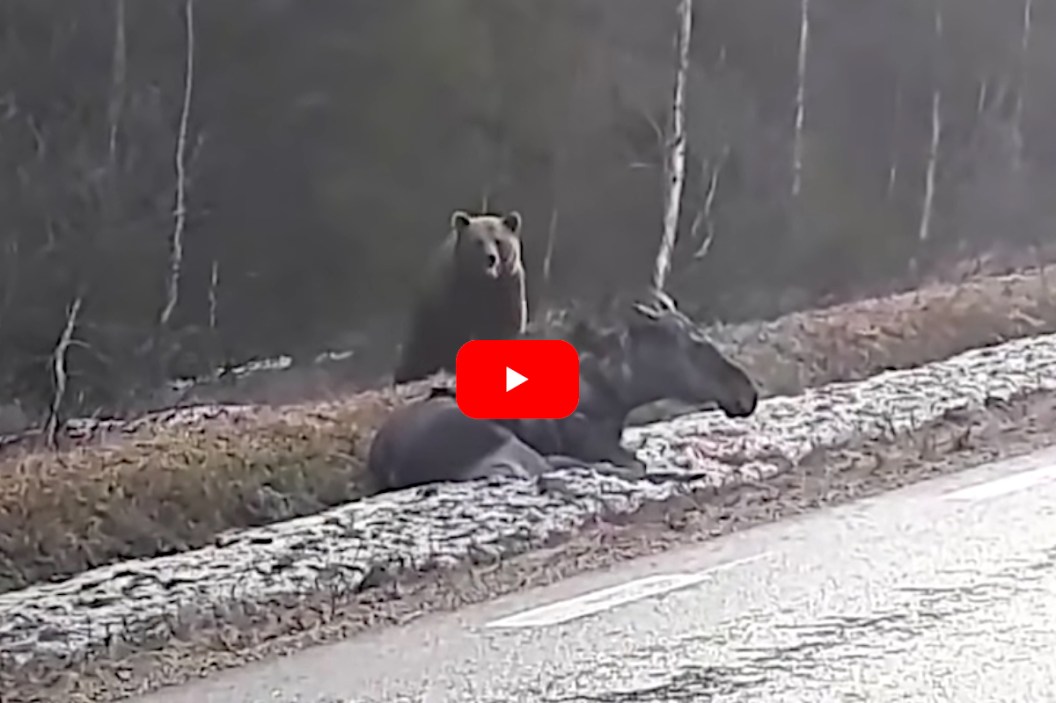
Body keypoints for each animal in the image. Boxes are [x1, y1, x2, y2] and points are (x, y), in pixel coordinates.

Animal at [392, 209, 528, 384]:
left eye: (498, 241)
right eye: (478, 242)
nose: (490, 258)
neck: (484, 283)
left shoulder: (507, 288)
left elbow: (506, 326)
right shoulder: (457, 292)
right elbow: (455, 329)